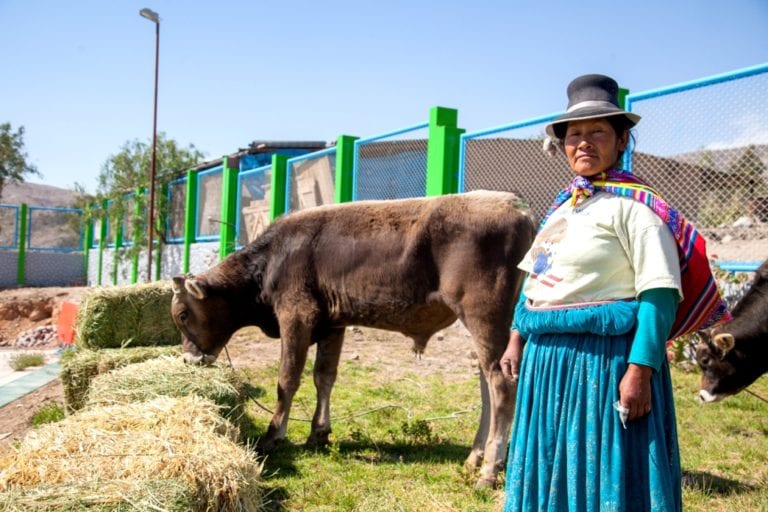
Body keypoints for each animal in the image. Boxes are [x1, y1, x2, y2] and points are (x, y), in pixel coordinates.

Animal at [172, 190, 536, 486]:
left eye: (183, 314)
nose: (189, 359)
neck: (274, 258)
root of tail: (516, 206)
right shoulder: (332, 324)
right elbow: (324, 377)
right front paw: (318, 434)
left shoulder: (296, 315)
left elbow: (287, 380)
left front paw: (273, 435)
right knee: (486, 385)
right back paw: (474, 457)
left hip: (483, 317)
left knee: (501, 385)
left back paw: (489, 470)